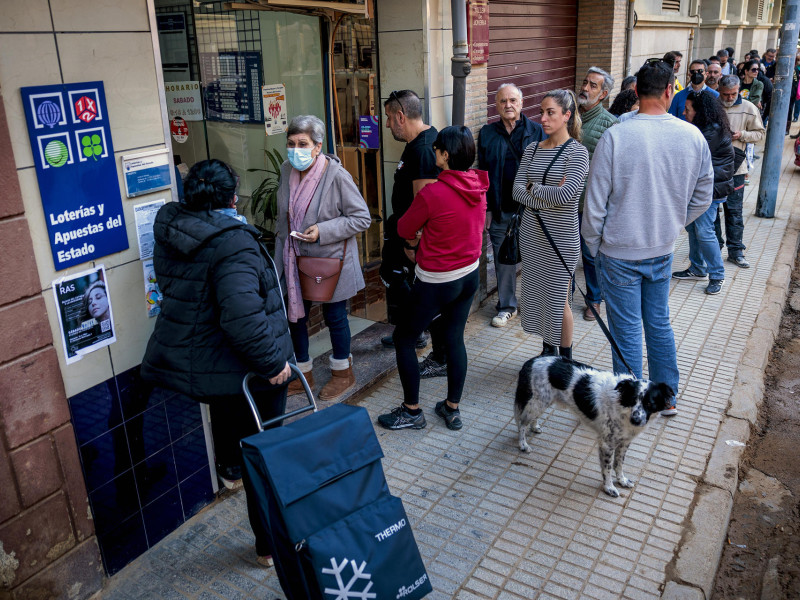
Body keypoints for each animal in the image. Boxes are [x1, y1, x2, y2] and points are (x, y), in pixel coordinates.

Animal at [512, 356, 676, 496]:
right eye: (632, 400)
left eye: (649, 403)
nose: (635, 420)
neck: (621, 407)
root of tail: (532, 360)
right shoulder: (607, 444)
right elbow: (607, 468)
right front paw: (609, 487)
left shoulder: (624, 442)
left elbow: (619, 464)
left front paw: (622, 480)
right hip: (537, 402)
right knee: (521, 422)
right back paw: (523, 444)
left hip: (542, 402)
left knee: (530, 419)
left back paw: (535, 427)